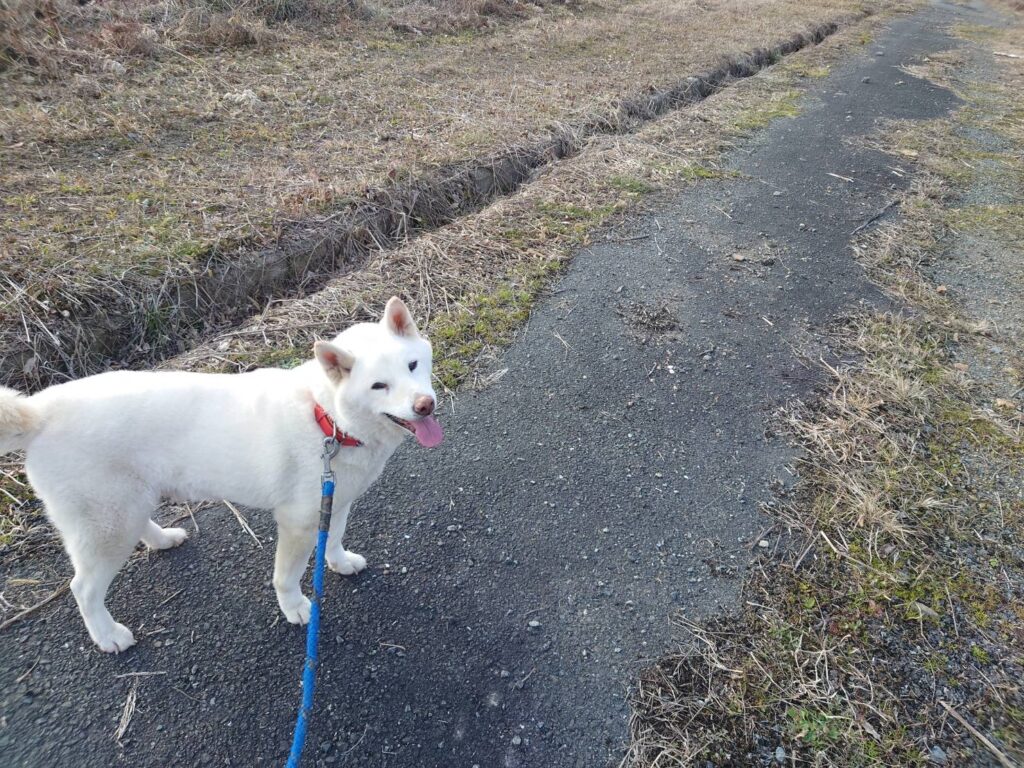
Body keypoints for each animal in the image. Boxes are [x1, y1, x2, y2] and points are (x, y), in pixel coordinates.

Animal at [0, 297, 442, 653]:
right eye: (379, 386)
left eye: (413, 365)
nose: (425, 405)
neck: (326, 418)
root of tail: (39, 412)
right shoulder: (297, 521)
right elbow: (287, 575)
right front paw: (296, 607)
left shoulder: (335, 498)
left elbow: (332, 539)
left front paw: (338, 562)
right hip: (106, 524)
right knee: (83, 589)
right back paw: (108, 635)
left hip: (127, 503)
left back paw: (162, 539)